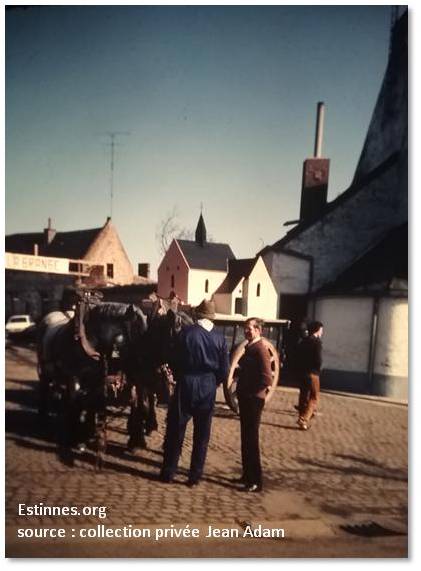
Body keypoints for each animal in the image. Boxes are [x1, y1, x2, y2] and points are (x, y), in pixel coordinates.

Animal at [37, 294, 148, 464]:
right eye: (138, 332)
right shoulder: (74, 377)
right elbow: (77, 404)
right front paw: (77, 439)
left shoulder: (95, 379)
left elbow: (90, 404)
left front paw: (87, 435)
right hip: (43, 372)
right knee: (44, 390)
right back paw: (43, 419)